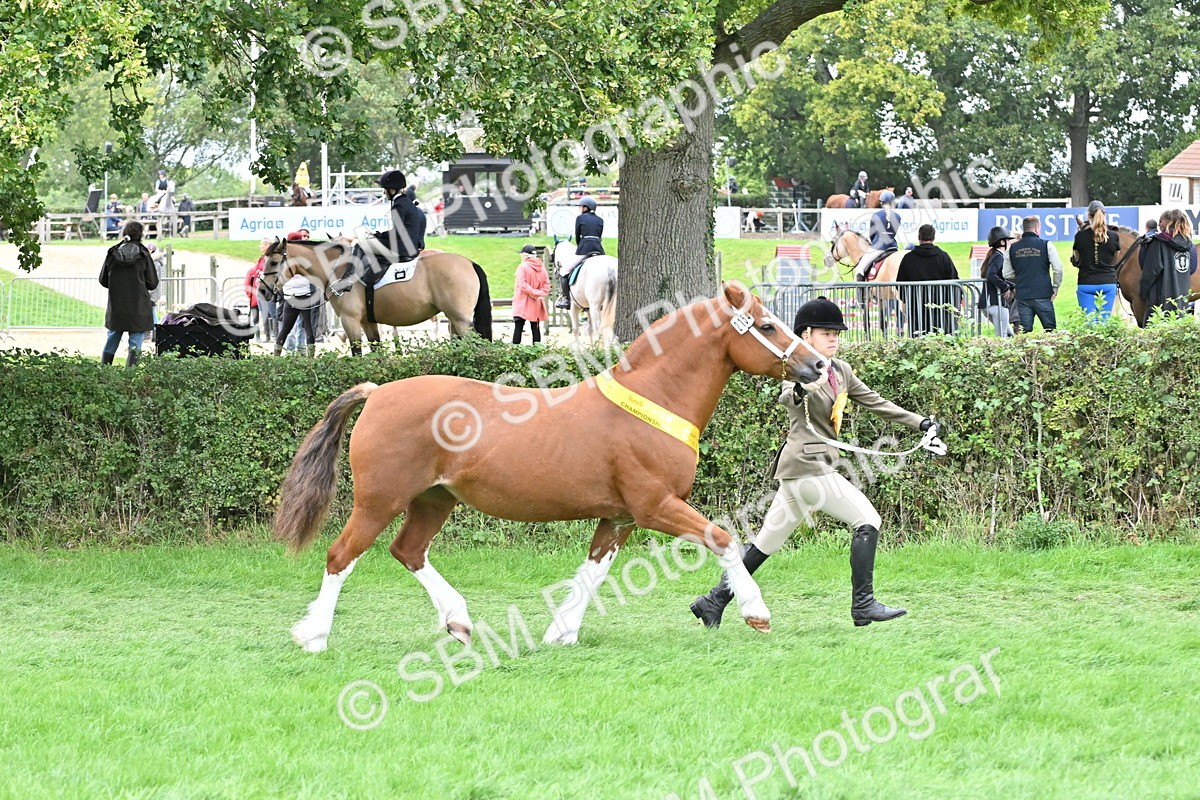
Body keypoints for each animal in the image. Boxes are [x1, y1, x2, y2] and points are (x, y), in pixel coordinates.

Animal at [260, 239, 492, 354]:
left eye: (273, 262)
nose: (262, 290)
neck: (339, 268)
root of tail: (469, 263)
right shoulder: (367, 322)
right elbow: (376, 353)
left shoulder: (350, 320)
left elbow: (357, 353)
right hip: (454, 321)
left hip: (460, 320)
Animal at [275, 283, 827, 651]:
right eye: (768, 325)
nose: (818, 365)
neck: (653, 401)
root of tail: (377, 392)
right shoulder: (654, 506)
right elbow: (722, 538)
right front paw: (756, 612)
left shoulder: (619, 517)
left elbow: (594, 571)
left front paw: (561, 631)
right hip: (379, 500)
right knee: (341, 555)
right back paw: (315, 635)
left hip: (435, 499)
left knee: (407, 551)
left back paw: (459, 622)